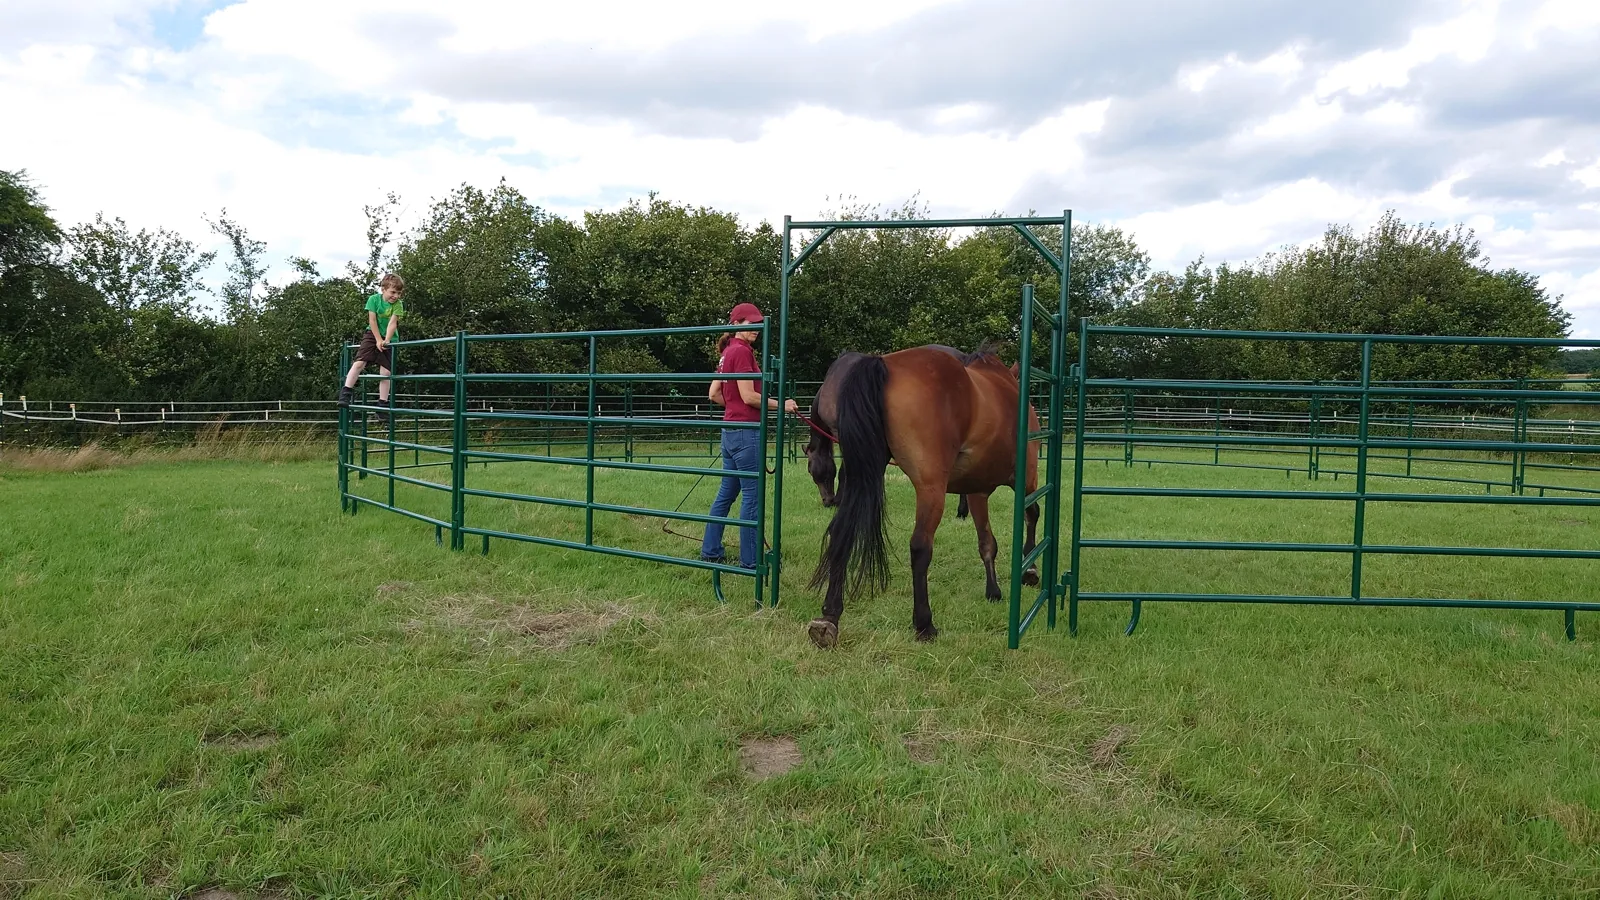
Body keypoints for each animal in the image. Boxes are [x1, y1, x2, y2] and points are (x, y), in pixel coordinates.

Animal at [800, 345, 1041, 647]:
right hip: (931, 489)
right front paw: (1029, 571)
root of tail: (881, 364)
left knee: (841, 531)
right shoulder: (1027, 476)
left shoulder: (977, 491)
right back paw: (924, 624)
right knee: (920, 547)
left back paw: (829, 617)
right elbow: (1031, 514)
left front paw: (994, 591)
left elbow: (987, 542)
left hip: (863, 474)